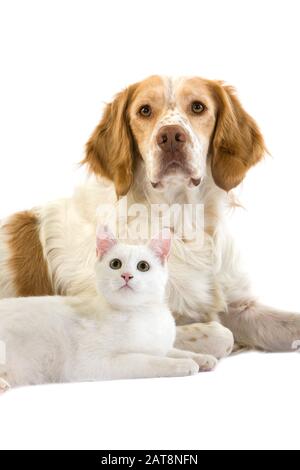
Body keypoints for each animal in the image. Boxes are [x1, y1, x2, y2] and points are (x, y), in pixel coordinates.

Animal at [0, 75, 300, 358]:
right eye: (144, 110)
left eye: (198, 107)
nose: (171, 136)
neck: (180, 220)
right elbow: (219, 334)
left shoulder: (238, 305)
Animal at [0, 226, 216, 392]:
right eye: (115, 264)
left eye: (143, 266)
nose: (126, 275)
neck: (140, 313)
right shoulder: (94, 363)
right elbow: (149, 361)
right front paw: (183, 364)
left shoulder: (159, 346)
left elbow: (173, 350)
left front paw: (202, 358)